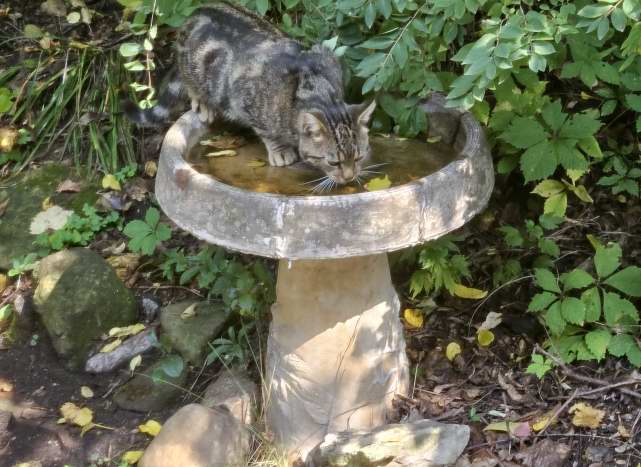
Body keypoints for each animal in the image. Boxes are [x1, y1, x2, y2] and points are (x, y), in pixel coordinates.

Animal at [124, 1, 376, 186]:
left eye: (359, 157)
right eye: (333, 163)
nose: (350, 176)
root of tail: (197, 12)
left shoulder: (326, 56)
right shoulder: (244, 96)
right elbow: (267, 132)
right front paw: (281, 150)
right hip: (193, 67)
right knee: (190, 84)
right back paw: (203, 103)